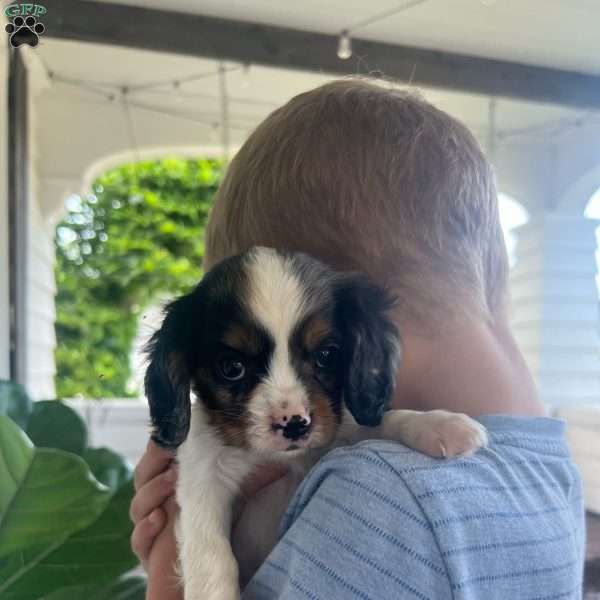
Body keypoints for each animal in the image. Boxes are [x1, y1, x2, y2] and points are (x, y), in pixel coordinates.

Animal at [145, 246, 488, 596]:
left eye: (326, 355)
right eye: (231, 367)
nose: (294, 423)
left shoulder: (335, 431)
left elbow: (380, 422)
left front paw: (439, 424)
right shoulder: (203, 476)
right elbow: (211, 555)